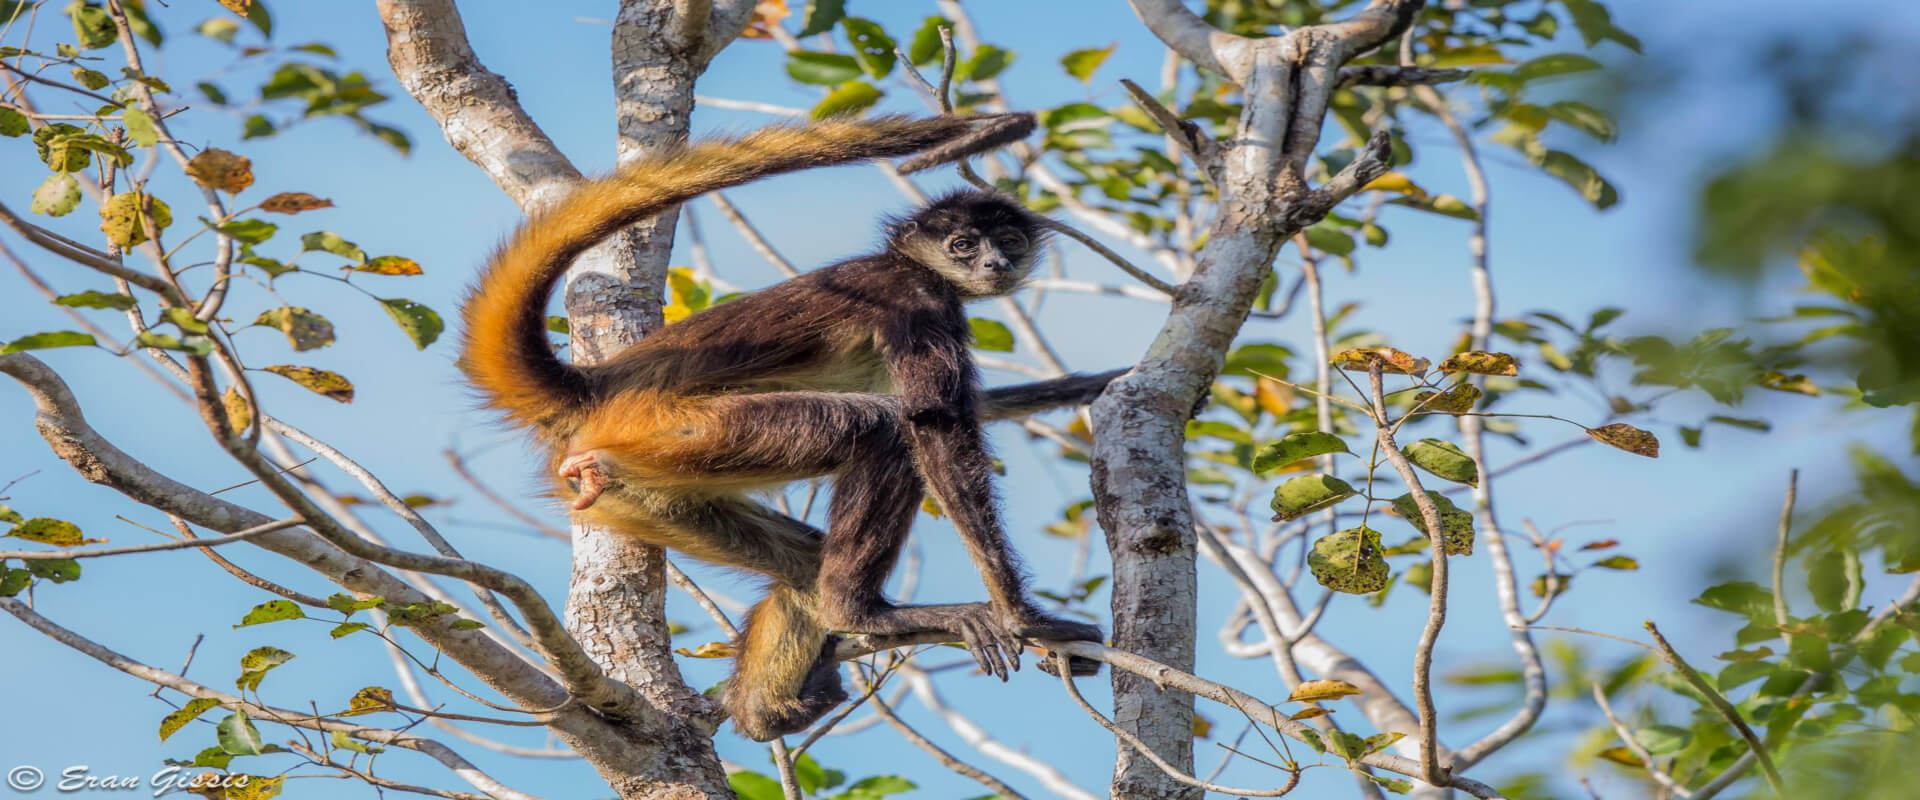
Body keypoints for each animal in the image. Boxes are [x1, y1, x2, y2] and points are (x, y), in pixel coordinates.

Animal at [466, 115, 1121, 740]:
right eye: (962, 245)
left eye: (1008, 241)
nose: (996, 264)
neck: (911, 266)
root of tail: (598, 387)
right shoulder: (915, 297)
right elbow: (932, 425)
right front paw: (1024, 615)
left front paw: (1098, 383)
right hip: (676, 429)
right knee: (878, 429)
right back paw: (861, 615)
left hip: (644, 492)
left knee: (803, 566)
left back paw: (765, 712)